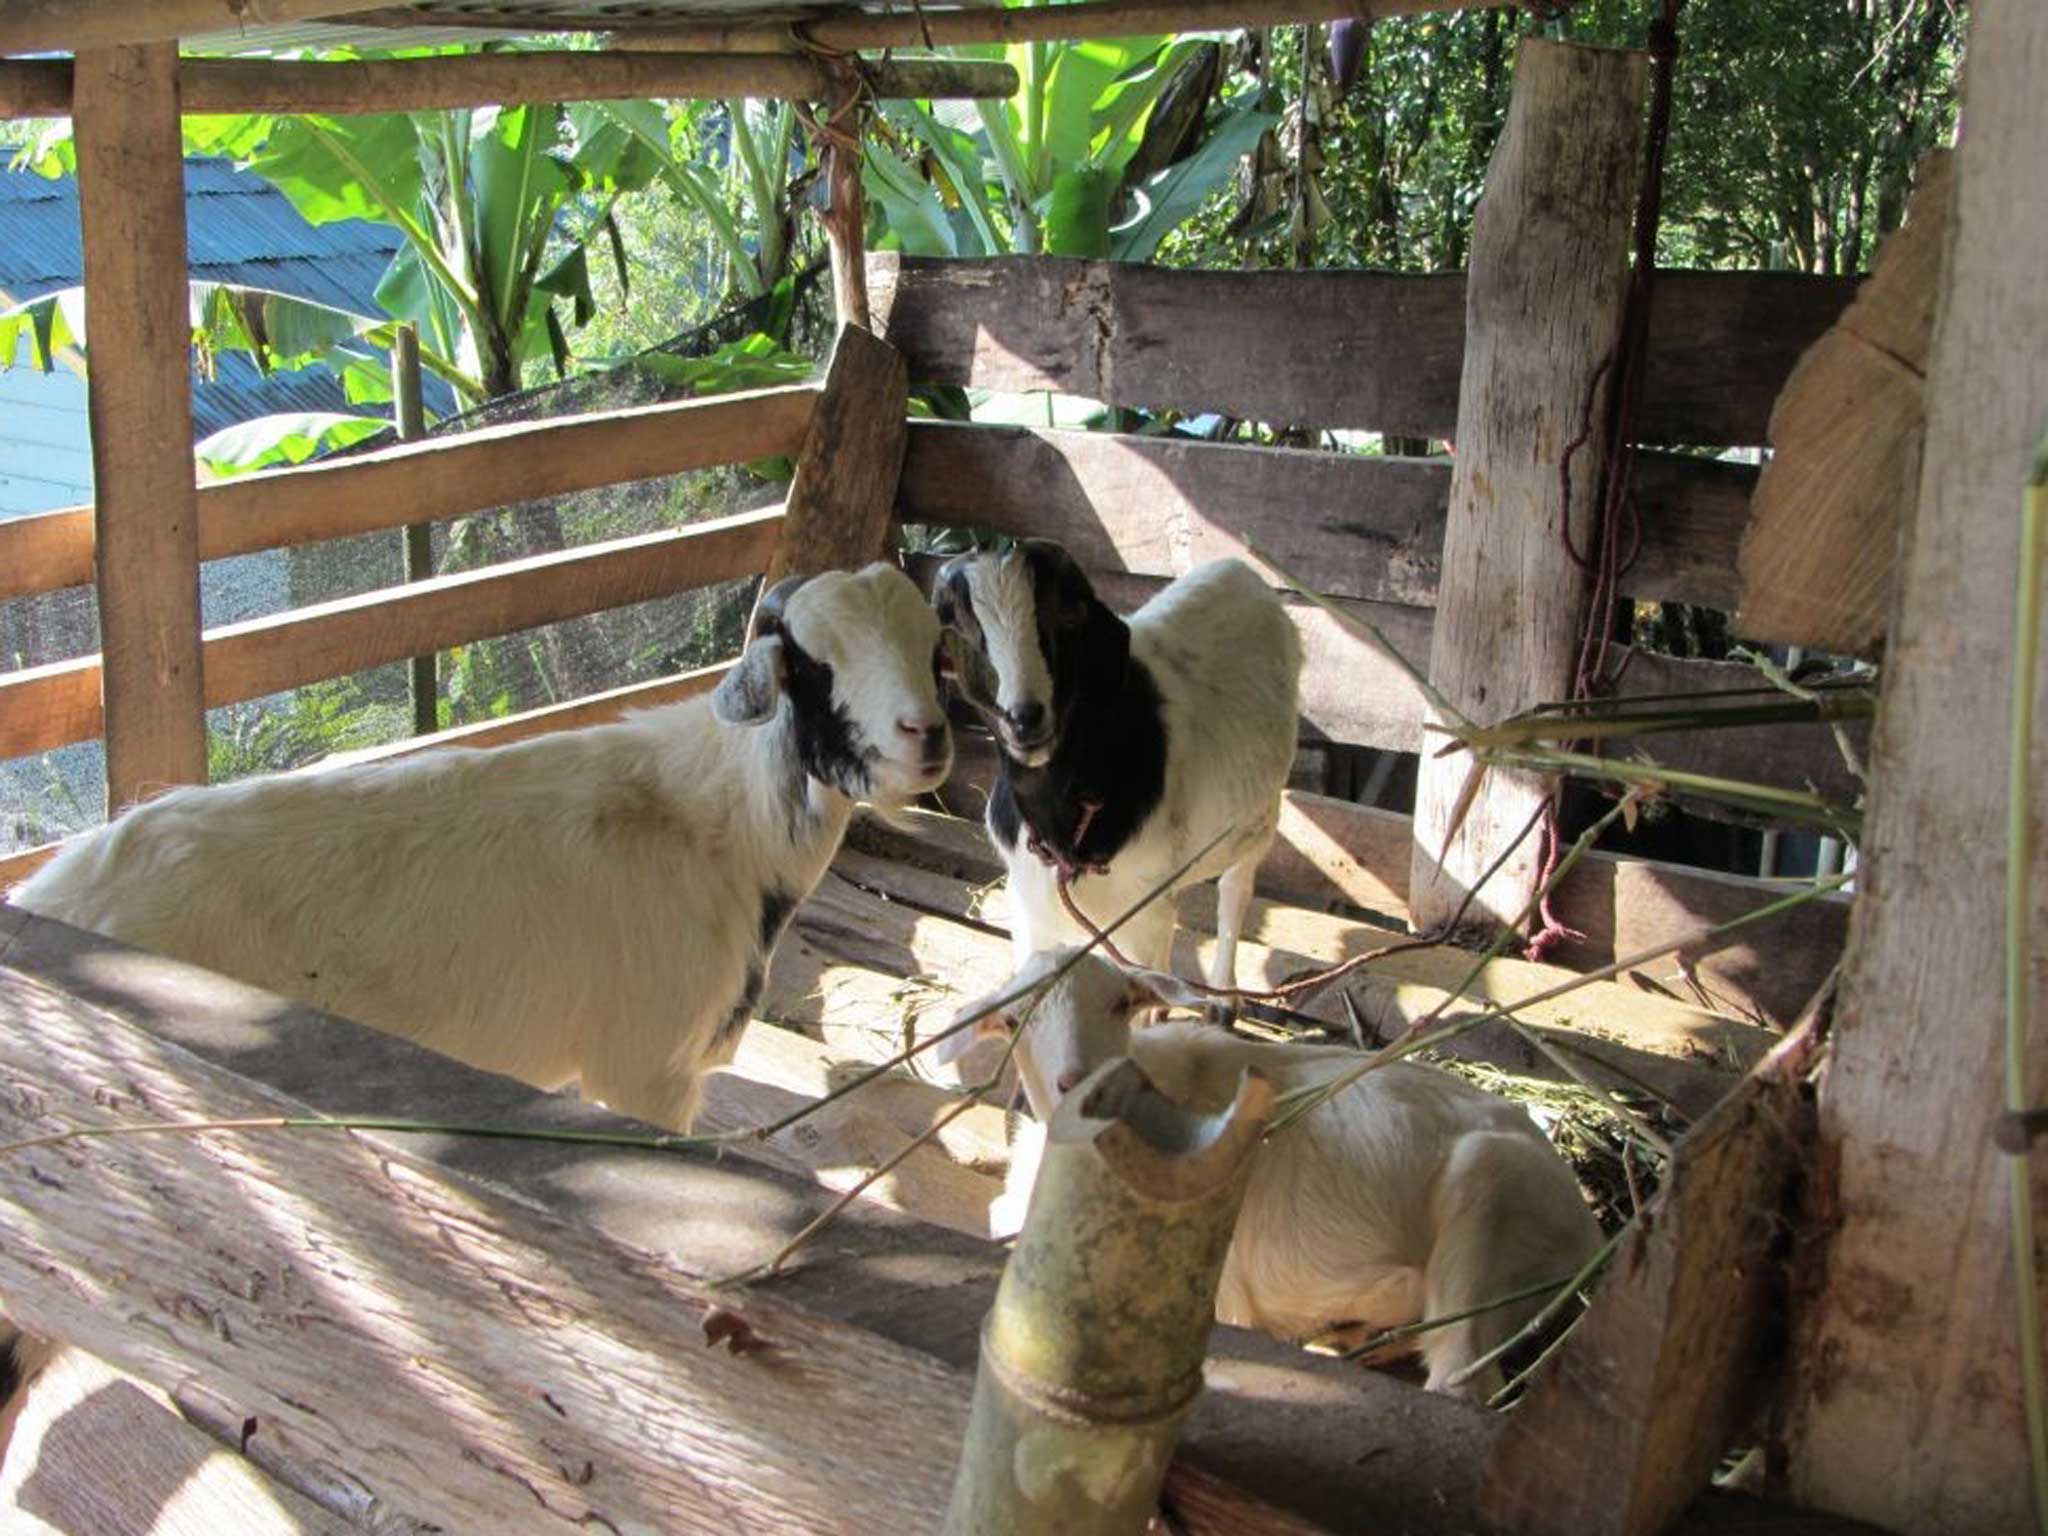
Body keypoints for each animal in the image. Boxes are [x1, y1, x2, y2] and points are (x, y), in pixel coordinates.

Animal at [9, 561, 950, 1130]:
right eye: (813, 665)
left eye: (934, 649)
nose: (927, 736)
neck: (719, 822)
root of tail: (48, 896)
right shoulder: (642, 1069)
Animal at [933, 548, 1294, 1003]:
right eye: (960, 628)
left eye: (1069, 616)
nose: (1024, 717)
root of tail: (1237, 568)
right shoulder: (1030, 908)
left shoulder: (1141, 914)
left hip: (1260, 820)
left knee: (1235, 892)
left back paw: (1223, 993)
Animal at [937, 946, 1597, 1400]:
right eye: (1015, 1019)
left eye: (1121, 1003)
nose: (1080, 1083)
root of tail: (1586, 1233)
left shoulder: (1222, 1290)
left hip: (1487, 1200)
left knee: (1461, 1379)